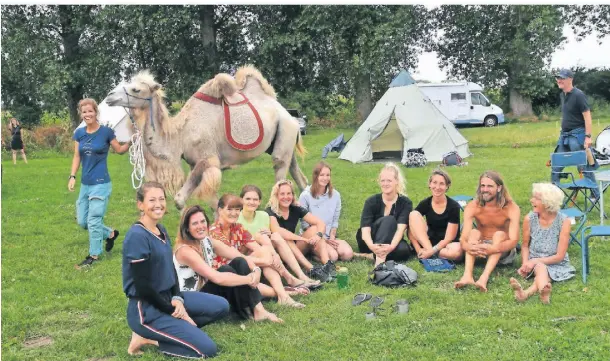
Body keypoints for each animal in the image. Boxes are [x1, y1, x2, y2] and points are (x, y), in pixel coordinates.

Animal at [104, 65, 308, 208]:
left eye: (136, 89)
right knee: (297, 174)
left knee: (280, 170)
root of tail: (288, 114)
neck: (180, 136)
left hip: (284, 132)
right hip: (282, 138)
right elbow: (210, 203)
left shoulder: (207, 159)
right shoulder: (195, 164)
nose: (109, 96)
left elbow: (180, 200)